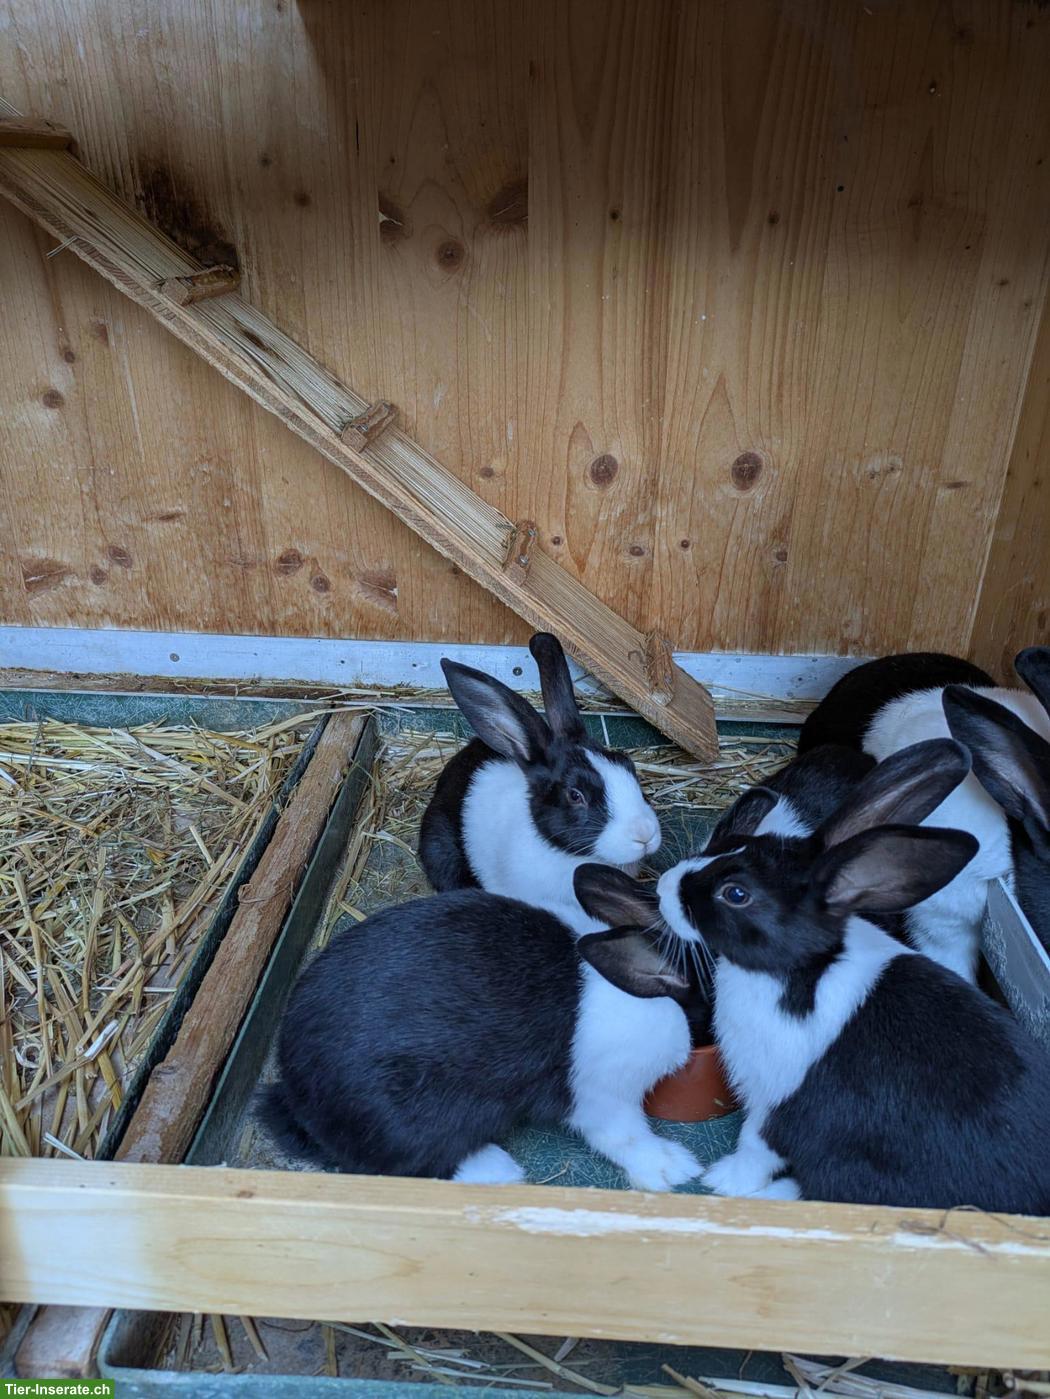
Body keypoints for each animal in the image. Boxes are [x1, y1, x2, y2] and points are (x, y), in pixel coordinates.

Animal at [262, 867, 703, 1192]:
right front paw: (674, 1167)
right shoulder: (601, 1093)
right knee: (409, 1165)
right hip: (412, 1120)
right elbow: (624, 1135)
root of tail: (297, 1098)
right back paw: (497, 1169)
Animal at [653, 739, 1050, 1213]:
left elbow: (755, 1146)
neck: (800, 971)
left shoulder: (776, 1101)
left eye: (735, 894)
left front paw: (722, 1181)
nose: (663, 885)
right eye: (738, 842)